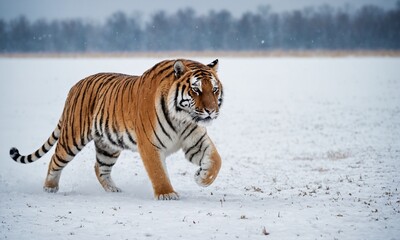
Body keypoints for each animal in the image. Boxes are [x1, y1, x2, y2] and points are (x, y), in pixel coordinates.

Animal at [8, 58, 222, 201]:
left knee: (99, 167)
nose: (211, 111)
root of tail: (75, 86)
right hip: (72, 138)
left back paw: (113, 190)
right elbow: (158, 172)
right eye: (196, 90)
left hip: (108, 146)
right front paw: (167, 194)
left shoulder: (194, 140)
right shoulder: (149, 145)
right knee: (55, 159)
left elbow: (215, 160)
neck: (182, 119)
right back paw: (49, 188)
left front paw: (202, 178)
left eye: (214, 89)